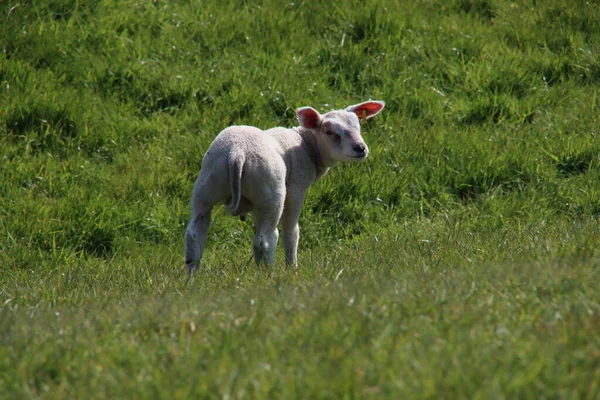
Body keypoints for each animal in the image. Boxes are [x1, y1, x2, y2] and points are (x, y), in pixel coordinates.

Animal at [185, 101, 386, 276]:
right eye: (329, 132)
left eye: (358, 125)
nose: (360, 148)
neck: (307, 145)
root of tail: (237, 153)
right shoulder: (296, 189)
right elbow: (291, 232)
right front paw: (292, 268)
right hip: (271, 193)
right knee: (265, 240)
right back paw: (269, 275)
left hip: (207, 186)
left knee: (195, 234)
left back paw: (192, 276)